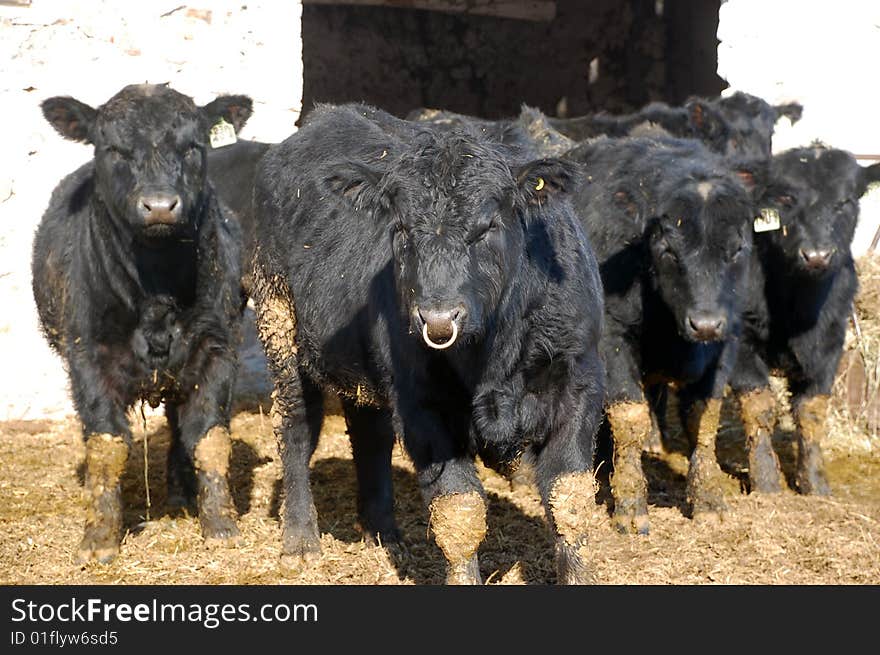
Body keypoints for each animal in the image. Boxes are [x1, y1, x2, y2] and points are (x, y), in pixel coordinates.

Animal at [33, 83, 253, 564]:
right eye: (113, 148)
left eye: (193, 146)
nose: (159, 206)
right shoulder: (88, 357)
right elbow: (106, 446)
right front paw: (99, 538)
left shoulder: (217, 349)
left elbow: (209, 437)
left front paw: (220, 526)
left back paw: (182, 492)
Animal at [249, 105, 604, 588]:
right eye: (400, 228)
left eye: (487, 227)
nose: (437, 320)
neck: (494, 355)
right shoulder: (423, 406)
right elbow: (459, 514)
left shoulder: (578, 386)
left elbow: (571, 505)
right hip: (279, 323)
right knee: (297, 427)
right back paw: (301, 542)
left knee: (370, 435)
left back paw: (384, 535)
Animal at [568, 133, 760, 532]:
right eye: (668, 250)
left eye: (737, 249)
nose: (705, 323)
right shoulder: (612, 337)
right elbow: (630, 417)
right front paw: (631, 506)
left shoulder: (727, 340)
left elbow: (704, 418)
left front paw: (709, 499)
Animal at [732, 146, 876, 494]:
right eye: (786, 198)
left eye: (845, 200)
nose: (817, 256)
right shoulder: (739, 341)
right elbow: (759, 406)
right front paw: (766, 481)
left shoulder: (830, 344)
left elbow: (811, 411)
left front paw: (815, 483)